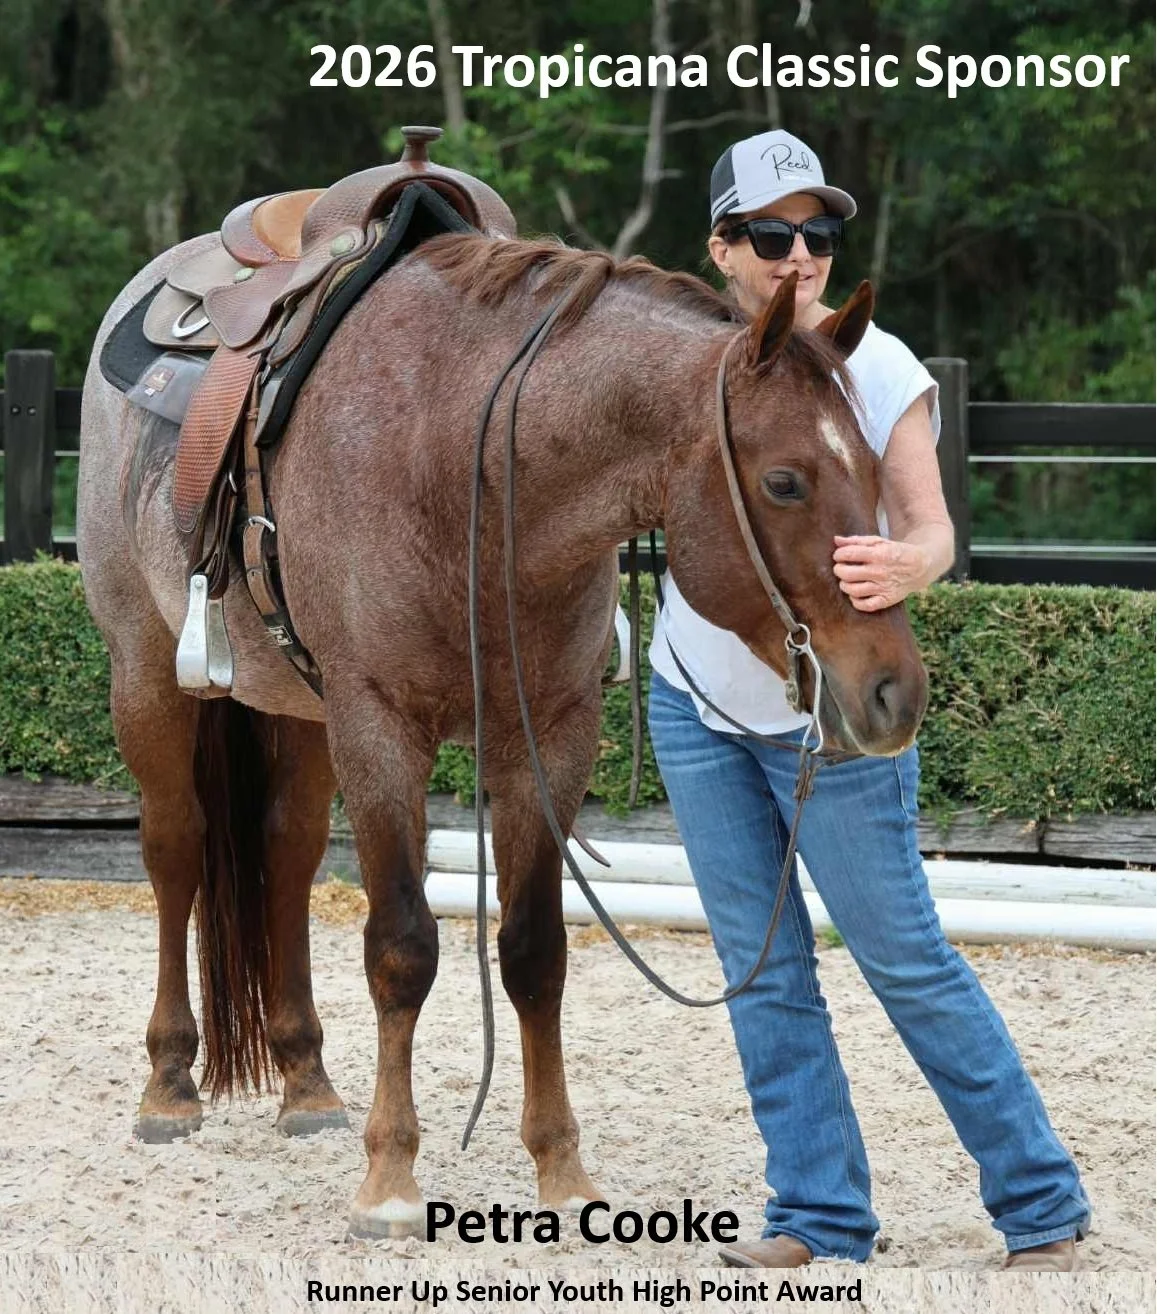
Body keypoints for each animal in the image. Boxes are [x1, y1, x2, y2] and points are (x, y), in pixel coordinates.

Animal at [78, 227, 928, 1238]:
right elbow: (401, 947)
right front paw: (391, 1179)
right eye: (784, 481)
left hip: (300, 716)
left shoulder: (549, 739)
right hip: (149, 679)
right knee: (176, 851)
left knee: (284, 857)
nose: (893, 693)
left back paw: (307, 1080)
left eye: (878, 472)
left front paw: (560, 1168)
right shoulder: (379, 727)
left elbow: (533, 951)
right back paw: (168, 1083)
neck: (464, 466)